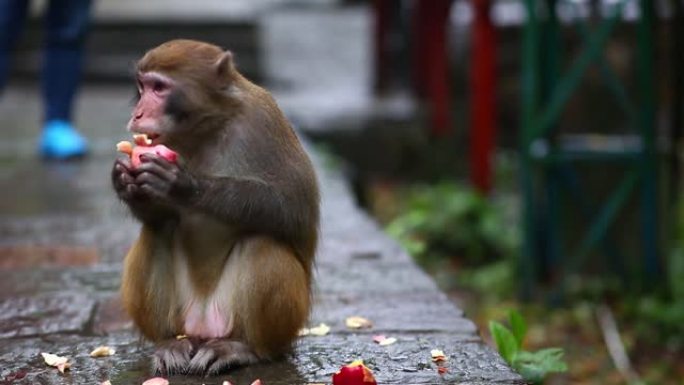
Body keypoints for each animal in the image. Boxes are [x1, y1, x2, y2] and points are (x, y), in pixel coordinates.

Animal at [111, 39, 320, 376]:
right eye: (142, 87)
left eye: (159, 87)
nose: (138, 113)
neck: (208, 127)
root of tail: (203, 325)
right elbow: (158, 216)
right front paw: (124, 182)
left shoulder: (265, 120)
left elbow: (294, 209)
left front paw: (184, 185)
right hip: (184, 319)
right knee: (157, 230)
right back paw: (169, 343)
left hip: (272, 323)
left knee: (262, 241)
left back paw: (246, 349)